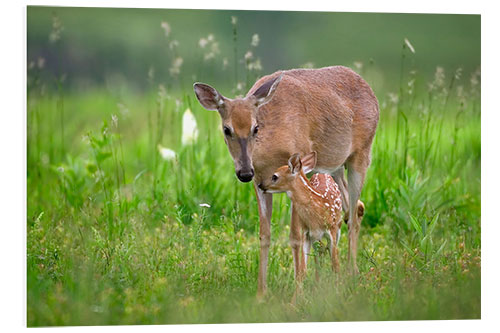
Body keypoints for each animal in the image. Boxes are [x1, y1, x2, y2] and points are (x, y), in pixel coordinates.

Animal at [193, 65, 376, 296]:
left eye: (255, 128)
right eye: (227, 129)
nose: (244, 173)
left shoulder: (298, 168)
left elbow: (296, 236)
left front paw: (299, 287)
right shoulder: (260, 182)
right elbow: (264, 235)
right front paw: (261, 293)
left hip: (361, 154)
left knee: (352, 214)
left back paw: (352, 273)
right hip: (335, 167)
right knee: (355, 207)